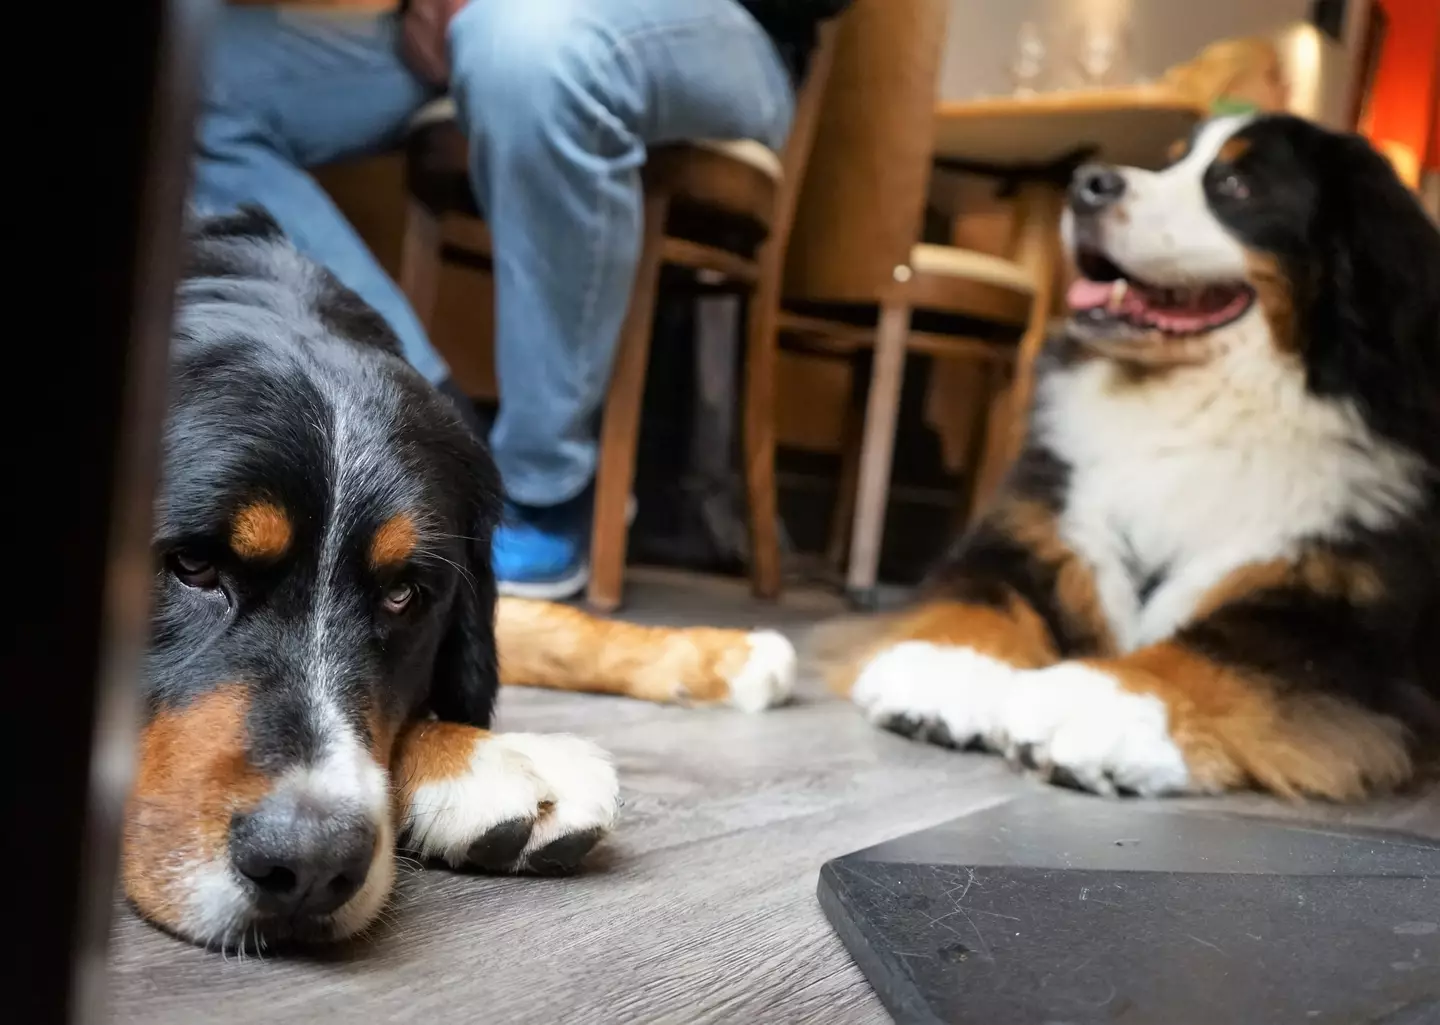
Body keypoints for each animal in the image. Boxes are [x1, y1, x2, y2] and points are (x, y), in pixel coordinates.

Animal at [126, 208, 800, 950]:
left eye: (403, 595)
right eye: (193, 565)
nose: (309, 862)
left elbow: (543, 624)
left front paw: (720, 653)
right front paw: (484, 758)